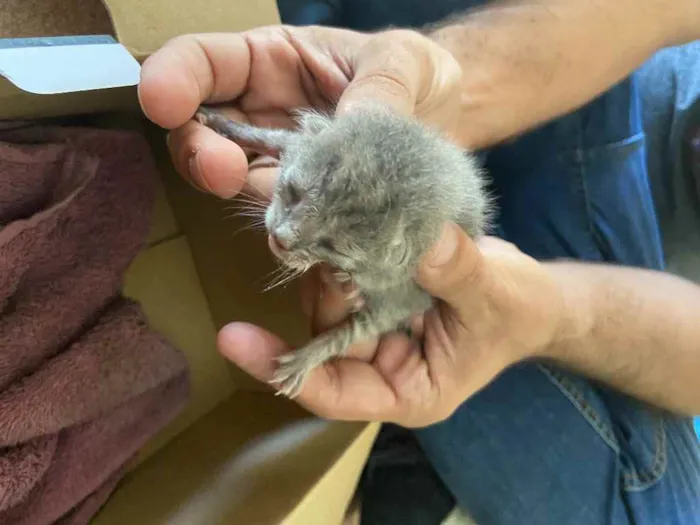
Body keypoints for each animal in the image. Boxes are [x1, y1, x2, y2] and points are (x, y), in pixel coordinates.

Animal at [194, 102, 494, 398]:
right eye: (293, 193)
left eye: (331, 245)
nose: (280, 239)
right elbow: (273, 136)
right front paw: (223, 122)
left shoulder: (405, 292)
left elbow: (352, 330)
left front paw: (307, 357)